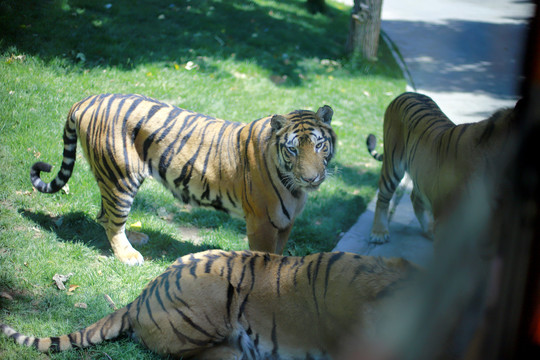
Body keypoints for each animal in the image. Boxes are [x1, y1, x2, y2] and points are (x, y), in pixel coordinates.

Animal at [31, 94, 336, 266]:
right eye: (292, 149)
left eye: (319, 146)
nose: (311, 178)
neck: (295, 189)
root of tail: (87, 100)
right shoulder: (262, 222)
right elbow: (265, 255)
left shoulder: (285, 223)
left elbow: (279, 253)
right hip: (121, 177)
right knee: (111, 219)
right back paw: (129, 256)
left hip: (112, 178)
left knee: (103, 214)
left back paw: (137, 238)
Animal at [364, 93, 516, 243]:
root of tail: (406, 93)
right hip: (393, 165)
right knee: (383, 198)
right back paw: (379, 232)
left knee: (415, 197)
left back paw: (428, 229)